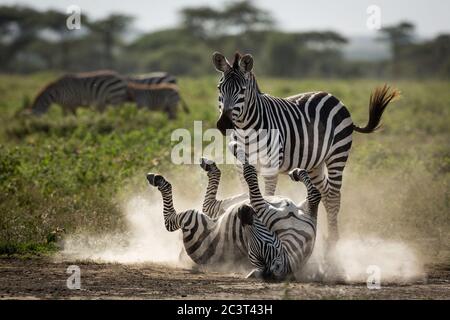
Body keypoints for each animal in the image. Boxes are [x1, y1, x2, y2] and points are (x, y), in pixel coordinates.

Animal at [147, 152, 320, 280]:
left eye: (264, 247)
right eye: (253, 245)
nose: (243, 211)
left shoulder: (265, 207)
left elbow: (250, 175)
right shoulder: (304, 211)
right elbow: (315, 194)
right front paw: (298, 172)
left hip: (196, 218)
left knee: (174, 220)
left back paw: (160, 180)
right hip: (221, 208)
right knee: (205, 204)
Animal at [213, 50, 400, 250]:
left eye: (242, 90)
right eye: (219, 88)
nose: (223, 124)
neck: (245, 129)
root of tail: (333, 97)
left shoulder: (271, 165)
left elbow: (268, 196)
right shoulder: (239, 165)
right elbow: (247, 189)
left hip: (337, 155)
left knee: (334, 196)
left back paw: (333, 243)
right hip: (314, 164)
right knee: (326, 193)